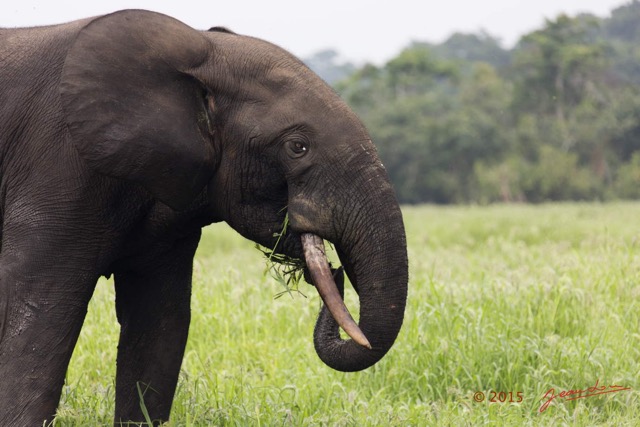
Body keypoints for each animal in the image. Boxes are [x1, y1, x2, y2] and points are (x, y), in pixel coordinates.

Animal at [0, 8, 408, 426]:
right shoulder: (58, 166)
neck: (201, 56)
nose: (336, 272)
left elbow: (161, 320)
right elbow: (40, 315)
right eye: (298, 147)